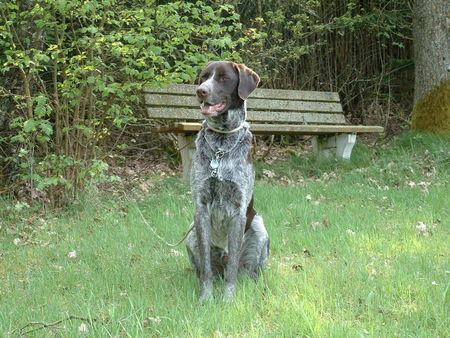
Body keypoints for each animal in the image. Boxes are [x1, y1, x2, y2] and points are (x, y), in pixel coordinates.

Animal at [185, 61, 268, 302]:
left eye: (224, 78)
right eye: (203, 77)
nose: (200, 91)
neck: (221, 146)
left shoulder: (238, 211)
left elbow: (233, 269)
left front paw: (229, 300)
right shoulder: (201, 209)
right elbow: (205, 268)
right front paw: (206, 298)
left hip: (259, 227)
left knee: (245, 269)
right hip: (191, 233)